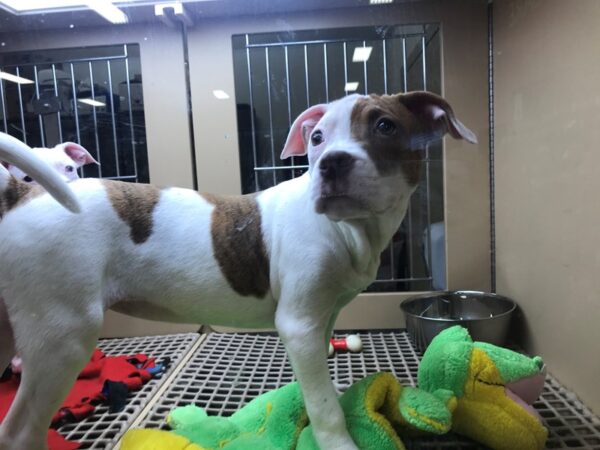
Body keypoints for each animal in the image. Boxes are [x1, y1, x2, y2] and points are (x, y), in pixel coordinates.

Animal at [0, 92, 476, 450]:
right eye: (317, 137)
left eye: (385, 126)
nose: (331, 162)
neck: (350, 229)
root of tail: (22, 193)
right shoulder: (299, 324)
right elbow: (324, 407)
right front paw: (339, 441)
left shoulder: (321, 319)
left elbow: (316, 388)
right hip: (63, 335)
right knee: (19, 431)